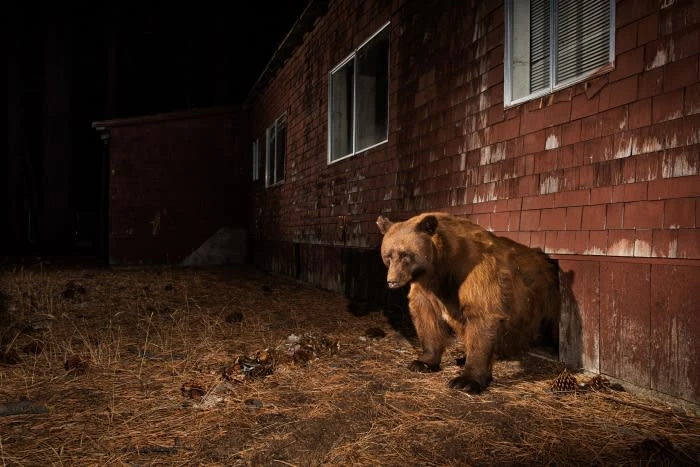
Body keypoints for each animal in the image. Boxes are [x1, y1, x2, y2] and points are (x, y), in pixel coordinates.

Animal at [376, 212, 560, 393]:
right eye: (388, 256)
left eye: (406, 256)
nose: (391, 281)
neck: (441, 268)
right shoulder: (427, 289)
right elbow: (427, 317)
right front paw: (422, 362)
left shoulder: (474, 272)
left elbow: (482, 315)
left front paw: (466, 381)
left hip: (545, 298)